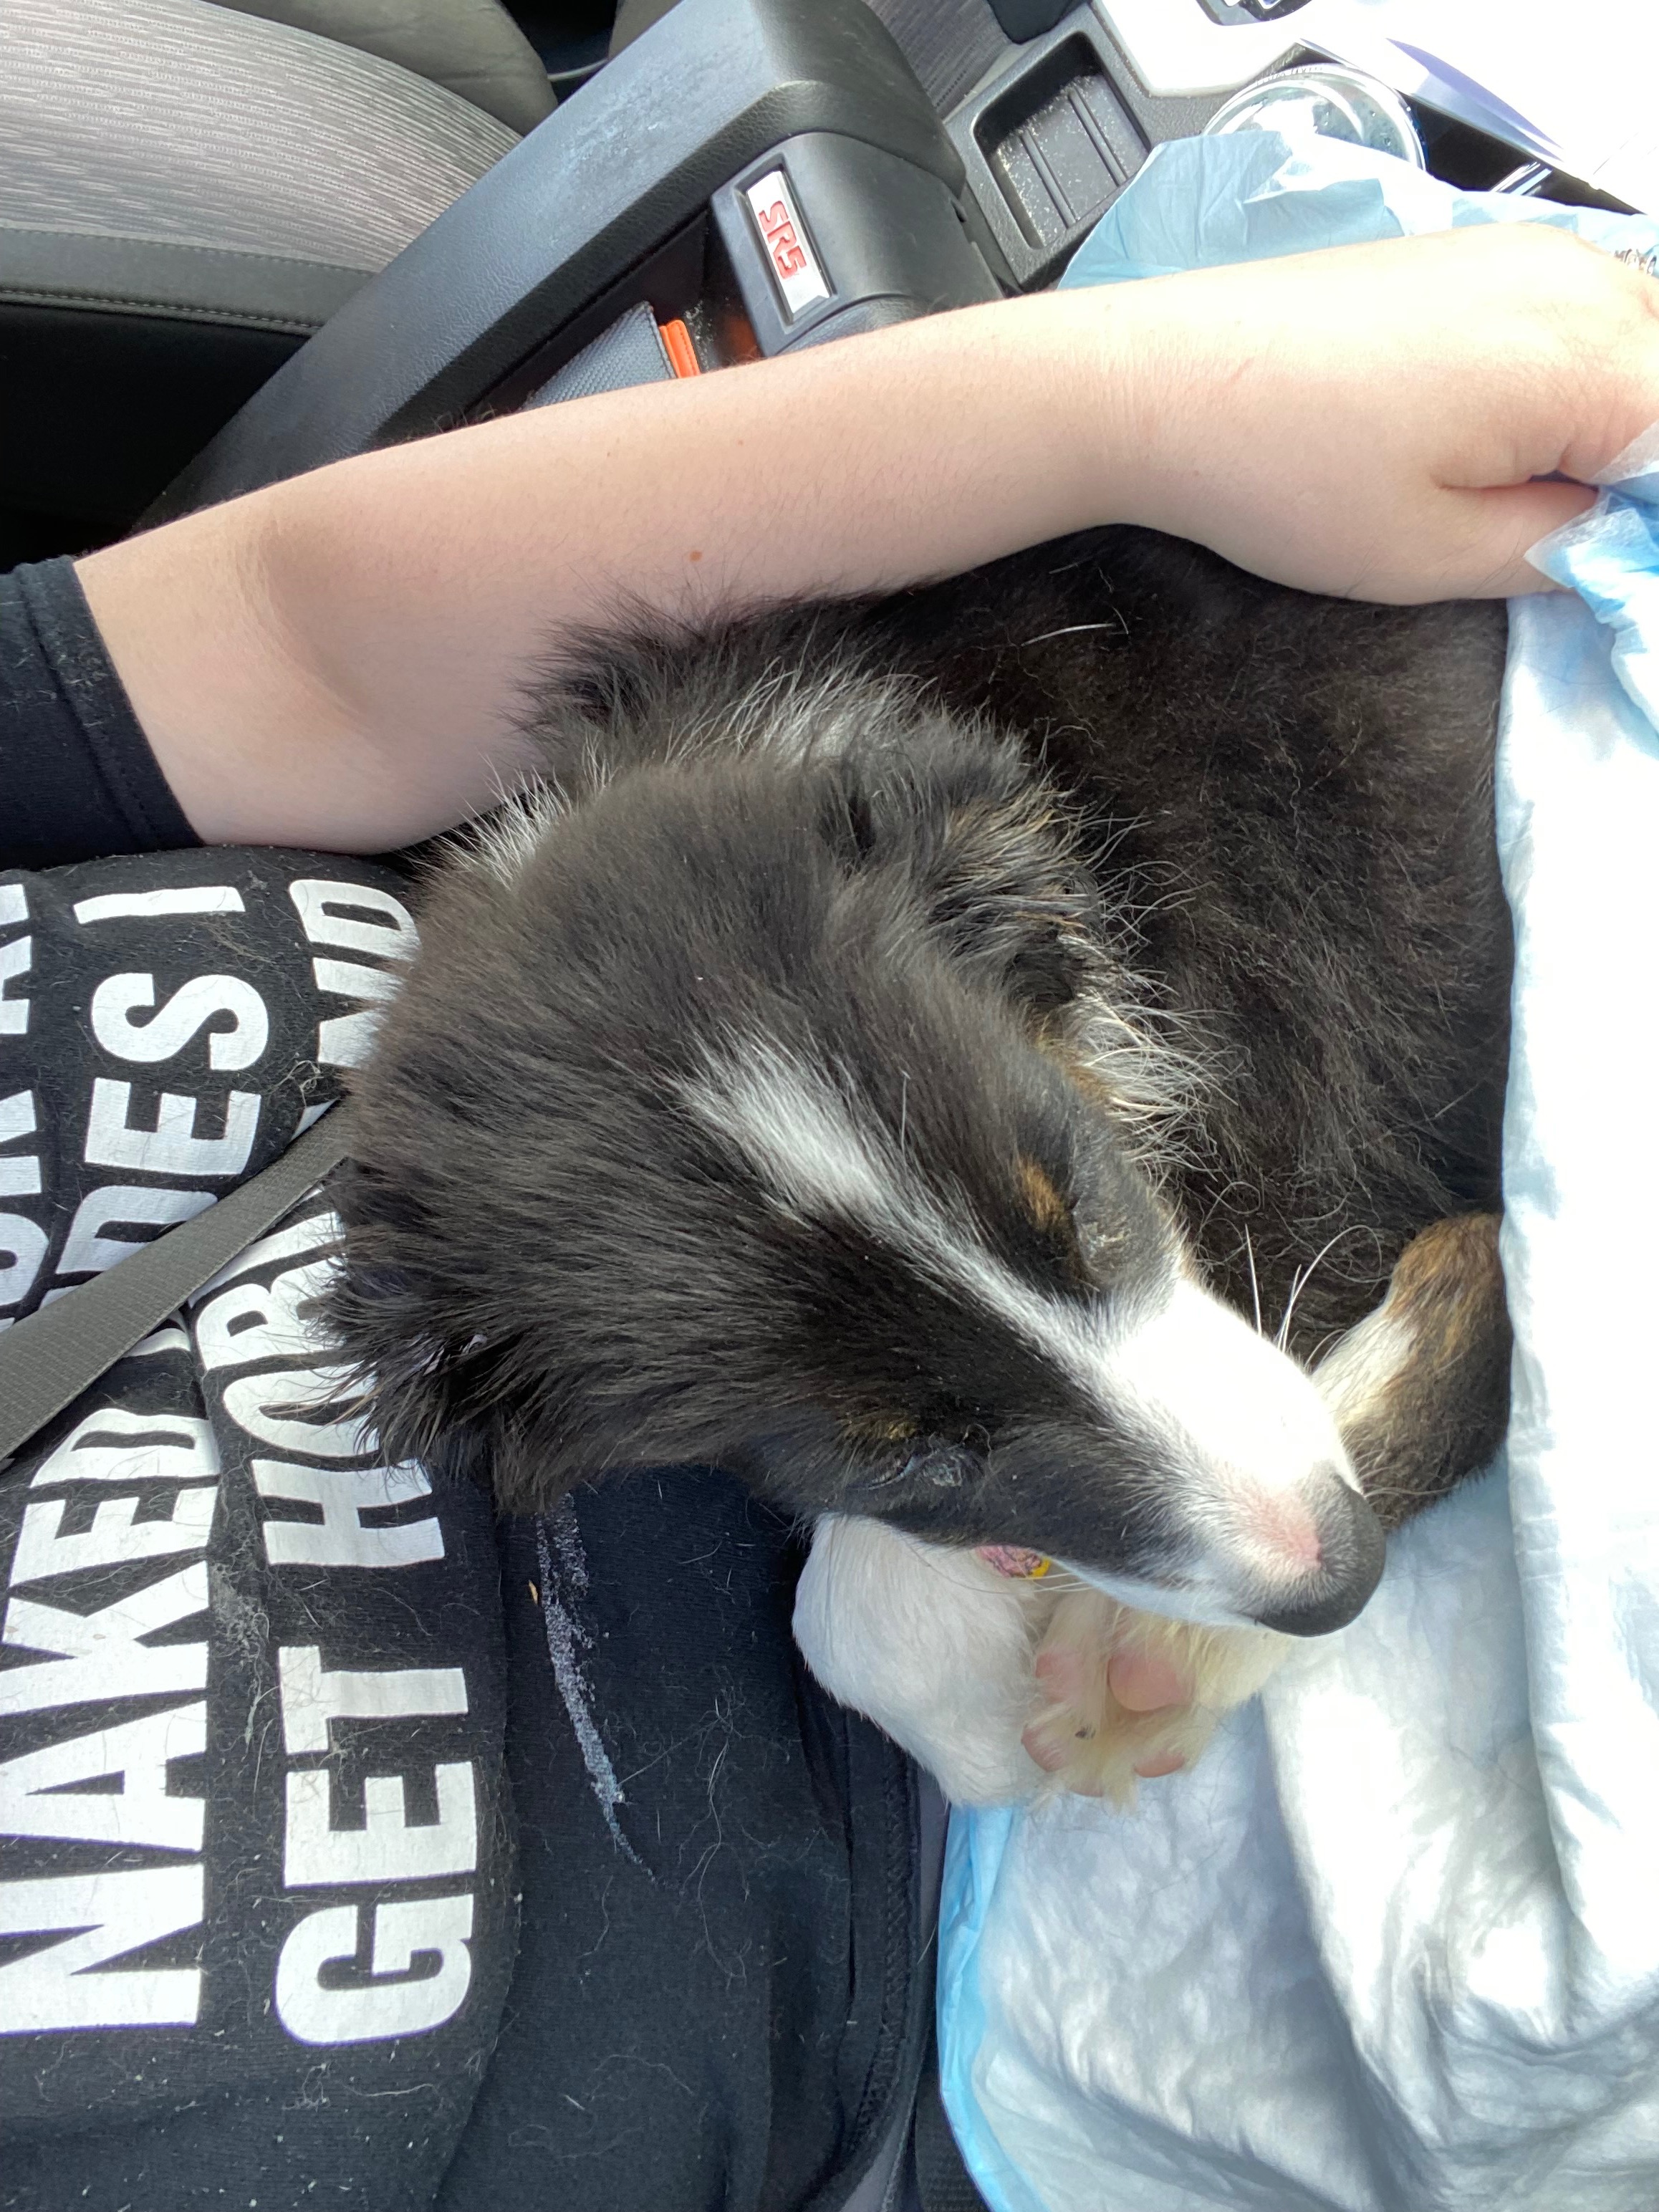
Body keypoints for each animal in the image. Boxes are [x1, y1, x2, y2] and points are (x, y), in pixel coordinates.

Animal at [321, 526, 1514, 1803]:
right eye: (912, 1467)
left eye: (1096, 1210)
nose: (1338, 1575)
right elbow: (844, 1614)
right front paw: (984, 1725)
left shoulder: (1323, 1085)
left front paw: (1135, 1660)